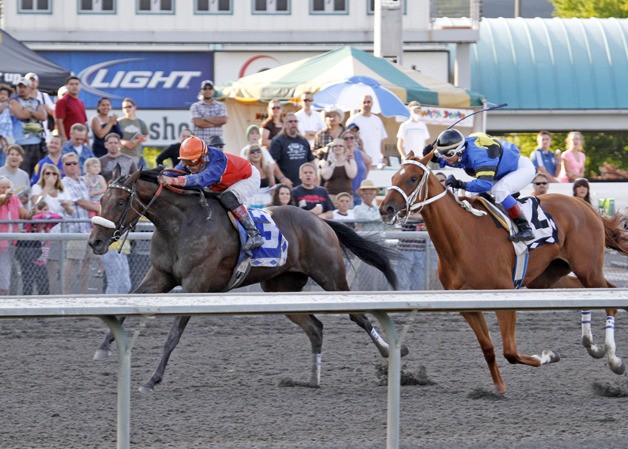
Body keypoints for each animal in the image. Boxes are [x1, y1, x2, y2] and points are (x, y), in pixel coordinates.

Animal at [87, 166, 402, 390]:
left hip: (331, 277)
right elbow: (128, 303)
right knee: (315, 327)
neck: (180, 224)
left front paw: (153, 379)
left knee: (358, 317)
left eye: (119, 202)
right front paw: (103, 347)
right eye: (100, 199)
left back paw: (392, 352)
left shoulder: (196, 285)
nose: (95, 242)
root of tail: (321, 221)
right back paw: (313, 378)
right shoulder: (160, 277)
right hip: (280, 288)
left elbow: (173, 336)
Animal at [378, 152, 628, 394]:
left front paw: (549, 355)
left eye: (412, 178)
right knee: (584, 292)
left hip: (588, 268)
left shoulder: (505, 294)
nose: (385, 209)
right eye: (393, 177)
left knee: (609, 298)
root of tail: (585, 205)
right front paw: (499, 387)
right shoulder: (466, 305)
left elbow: (510, 351)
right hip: (548, 277)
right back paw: (591, 345)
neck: (463, 238)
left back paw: (614, 360)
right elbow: (488, 347)